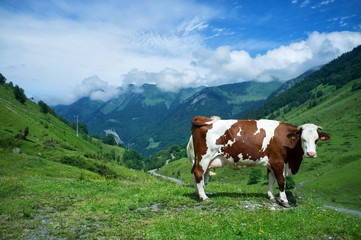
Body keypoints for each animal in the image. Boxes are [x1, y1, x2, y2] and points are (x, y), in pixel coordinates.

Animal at [188, 115, 330, 207]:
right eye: (303, 139)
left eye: (316, 140)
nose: (311, 154)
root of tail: (207, 120)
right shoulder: (278, 162)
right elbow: (281, 181)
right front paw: (284, 201)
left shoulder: (272, 163)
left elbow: (271, 180)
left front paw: (272, 197)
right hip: (204, 156)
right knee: (199, 172)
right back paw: (204, 197)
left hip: (198, 158)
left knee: (194, 172)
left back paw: (197, 193)